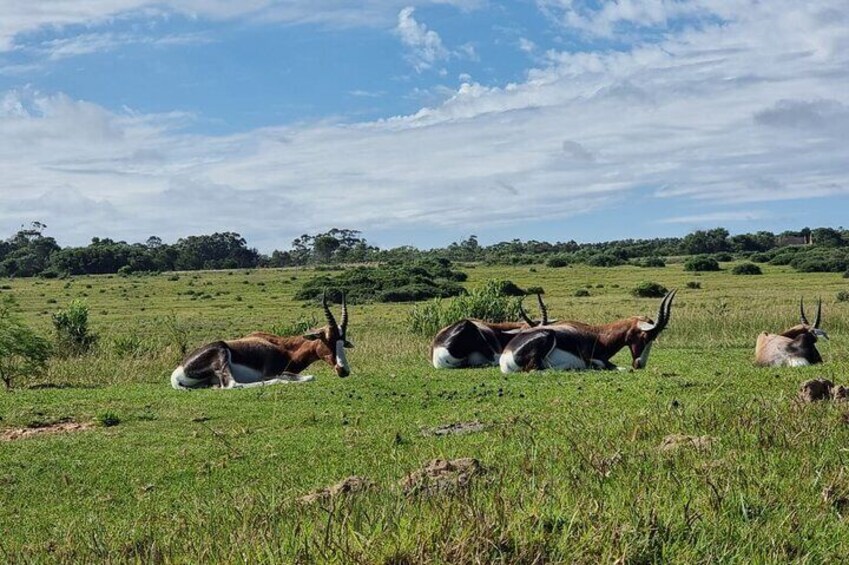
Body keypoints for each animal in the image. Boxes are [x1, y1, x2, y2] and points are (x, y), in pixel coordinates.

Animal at [171, 290, 352, 388]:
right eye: (328, 340)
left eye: (343, 342)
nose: (344, 370)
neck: (283, 347)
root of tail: (178, 372)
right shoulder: (271, 372)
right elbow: (305, 376)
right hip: (222, 353)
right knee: (233, 385)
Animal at [496, 288, 676, 372]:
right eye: (645, 336)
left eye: (654, 337)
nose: (640, 365)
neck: (597, 334)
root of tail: (506, 357)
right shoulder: (592, 359)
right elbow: (617, 367)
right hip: (547, 337)